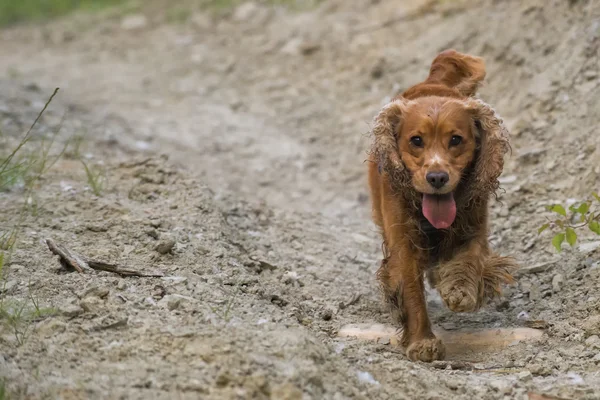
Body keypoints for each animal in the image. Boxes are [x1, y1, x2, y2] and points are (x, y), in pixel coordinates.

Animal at [368, 50, 516, 362]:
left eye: (456, 140)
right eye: (416, 140)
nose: (437, 177)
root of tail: (433, 82)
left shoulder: (474, 226)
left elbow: (470, 259)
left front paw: (460, 291)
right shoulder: (403, 241)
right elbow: (410, 288)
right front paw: (422, 341)